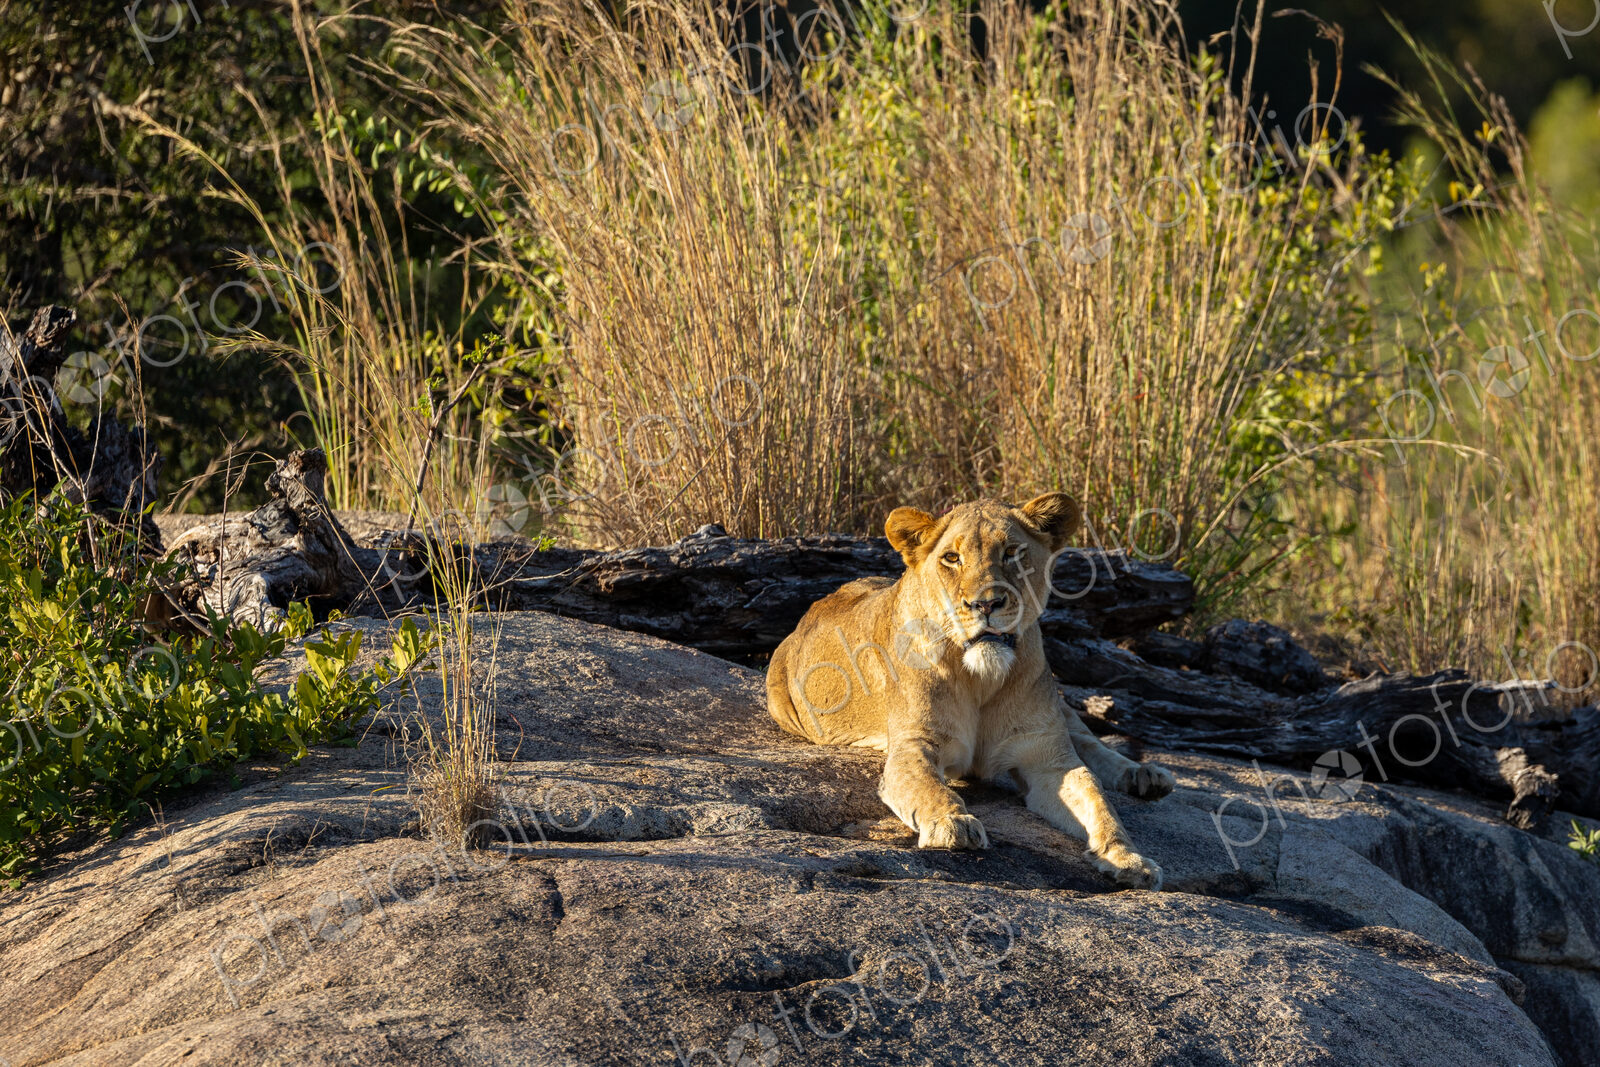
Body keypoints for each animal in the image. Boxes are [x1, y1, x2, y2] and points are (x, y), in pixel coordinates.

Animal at [765, 493, 1172, 889]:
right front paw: (952, 824)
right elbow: (929, 785)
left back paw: (1144, 777)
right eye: (951, 558)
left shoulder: (1048, 758)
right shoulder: (914, 744)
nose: (986, 604)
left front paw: (1128, 858)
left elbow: (1097, 799)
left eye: (1012, 552)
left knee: (1088, 741)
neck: (982, 678)